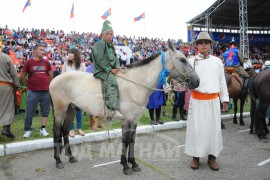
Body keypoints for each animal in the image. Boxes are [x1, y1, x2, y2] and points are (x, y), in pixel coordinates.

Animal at [49, 41, 200, 175]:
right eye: (183, 60)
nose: (197, 81)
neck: (136, 84)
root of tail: (55, 79)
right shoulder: (126, 119)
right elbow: (126, 140)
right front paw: (126, 166)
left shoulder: (134, 119)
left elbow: (131, 140)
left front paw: (133, 163)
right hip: (60, 110)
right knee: (57, 131)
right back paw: (58, 161)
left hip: (72, 108)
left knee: (65, 130)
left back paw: (71, 157)